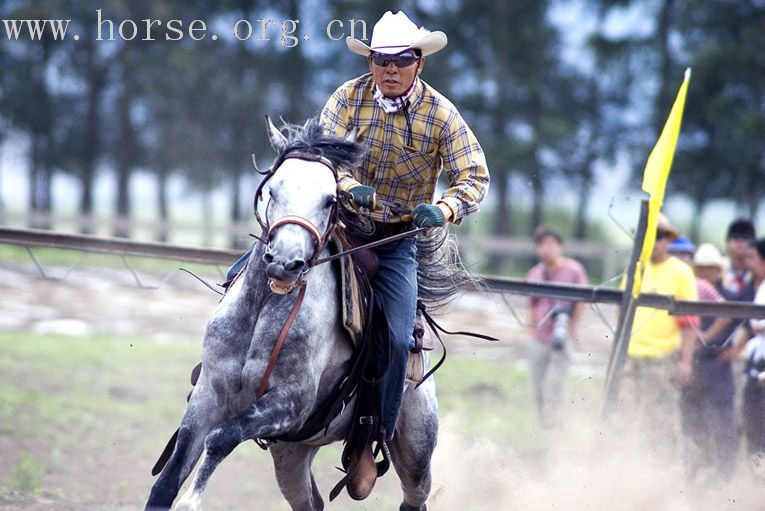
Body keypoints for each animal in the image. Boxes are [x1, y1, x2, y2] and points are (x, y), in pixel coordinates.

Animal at [145, 119, 442, 511]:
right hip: (291, 453)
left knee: (415, 495)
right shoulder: (208, 395)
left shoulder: (289, 403)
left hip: (416, 448)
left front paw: (191, 499)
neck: (262, 310)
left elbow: (222, 437)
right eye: (272, 190)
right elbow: (167, 479)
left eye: (330, 199)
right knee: (310, 501)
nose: (286, 262)